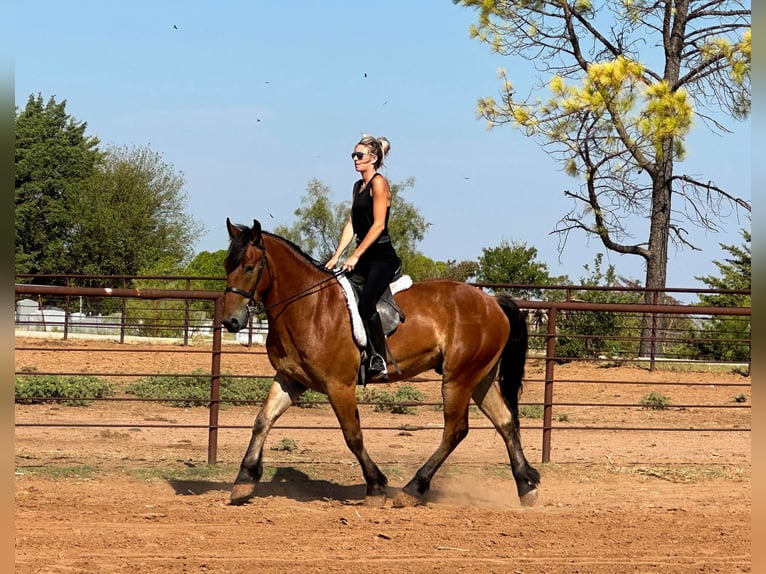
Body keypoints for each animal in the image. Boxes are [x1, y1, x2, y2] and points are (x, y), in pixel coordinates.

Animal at [222, 219, 540, 508]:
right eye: (227, 265)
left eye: (249, 267)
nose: (231, 321)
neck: (309, 306)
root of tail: (493, 302)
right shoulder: (290, 379)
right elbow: (262, 420)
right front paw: (244, 481)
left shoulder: (339, 385)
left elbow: (353, 436)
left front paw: (375, 487)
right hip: (479, 378)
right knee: (505, 421)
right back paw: (526, 487)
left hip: (458, 379)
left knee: (455, 431)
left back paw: (413, 489)